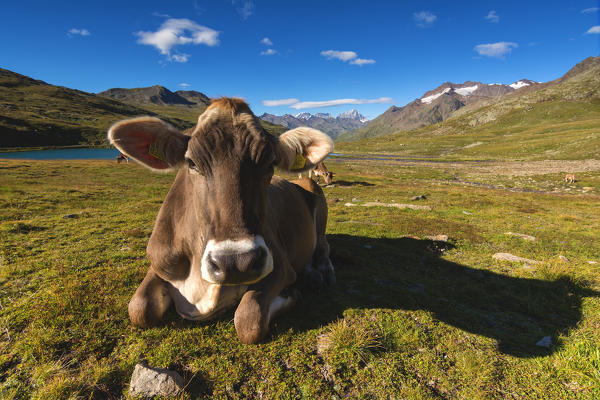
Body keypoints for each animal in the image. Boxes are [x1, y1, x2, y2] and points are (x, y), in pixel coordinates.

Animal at [108, 97, 332, 344]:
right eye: (191, 162)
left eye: (269, 163)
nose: (236, 262)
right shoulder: (158, 261)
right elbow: (139, 309)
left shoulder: (281, 266)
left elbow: (248, 319)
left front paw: (291, 293)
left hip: (317, 199)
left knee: (323, 246)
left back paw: (319, 274)